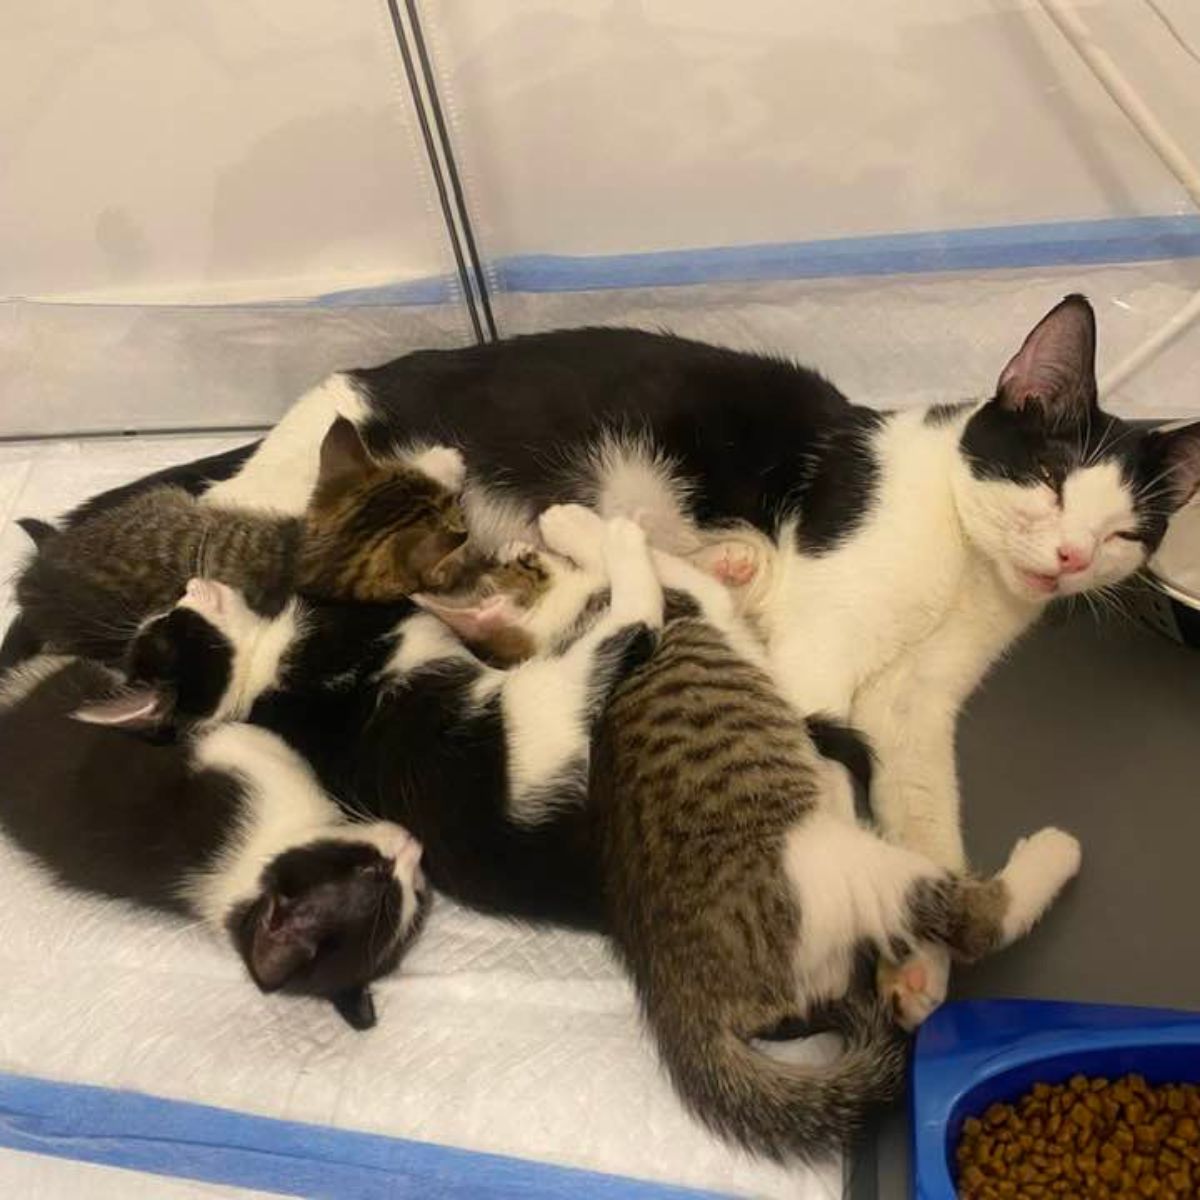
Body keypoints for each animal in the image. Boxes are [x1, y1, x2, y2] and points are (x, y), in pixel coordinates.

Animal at [15, 417, 463, 667]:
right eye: (456, 509)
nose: (461, 513)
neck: (301, 561)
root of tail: (37, 577)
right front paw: (444, 461)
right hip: (167, 495)